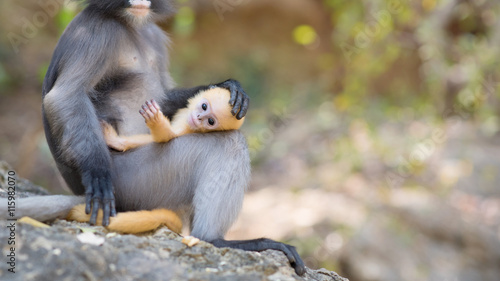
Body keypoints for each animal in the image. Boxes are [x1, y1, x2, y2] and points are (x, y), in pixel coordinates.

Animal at [102, 88, 246, 151]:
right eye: (204, 106)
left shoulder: (187, 130)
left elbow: (166, 137)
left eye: (211, 121)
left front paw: (156, 120)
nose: (198, 117)